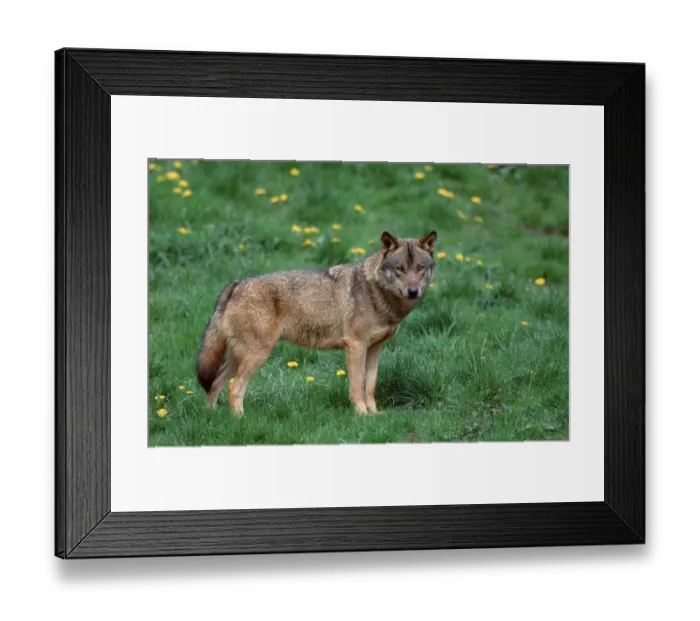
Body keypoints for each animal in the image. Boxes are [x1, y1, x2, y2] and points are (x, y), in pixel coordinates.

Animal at [196, 230, 438, 416]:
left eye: (419, 268)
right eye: (400, 269)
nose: (413, 291)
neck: (377, 292)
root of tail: (236, 284)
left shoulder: (375, 349)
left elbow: (370, 386)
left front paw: (375, 414)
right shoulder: (356, 346)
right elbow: (357, 387)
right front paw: (361, 415)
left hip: (237, 358)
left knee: (214, 385)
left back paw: (213, 417)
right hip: (256, 355)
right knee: (234, 388)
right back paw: (240, 420)